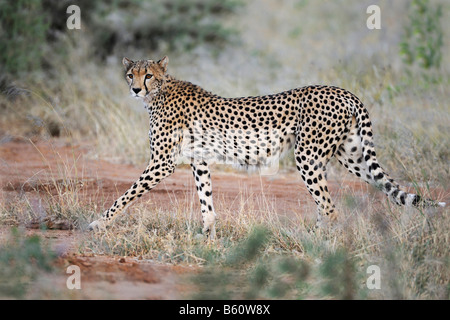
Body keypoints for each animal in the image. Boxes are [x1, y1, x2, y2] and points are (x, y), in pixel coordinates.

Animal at [87, 57, 442, 238]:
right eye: (130, 74)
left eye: (148, 75)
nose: (135, 89)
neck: (159, 93)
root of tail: (343, 91)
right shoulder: (199, 160)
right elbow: (206, 199)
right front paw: (207, 234)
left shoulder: (162, 163)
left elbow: (126, 194)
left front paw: (99, 223)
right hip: (351, 156)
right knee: (374, 190)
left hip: (307, 156)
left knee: (328, 206)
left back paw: (316, 243)